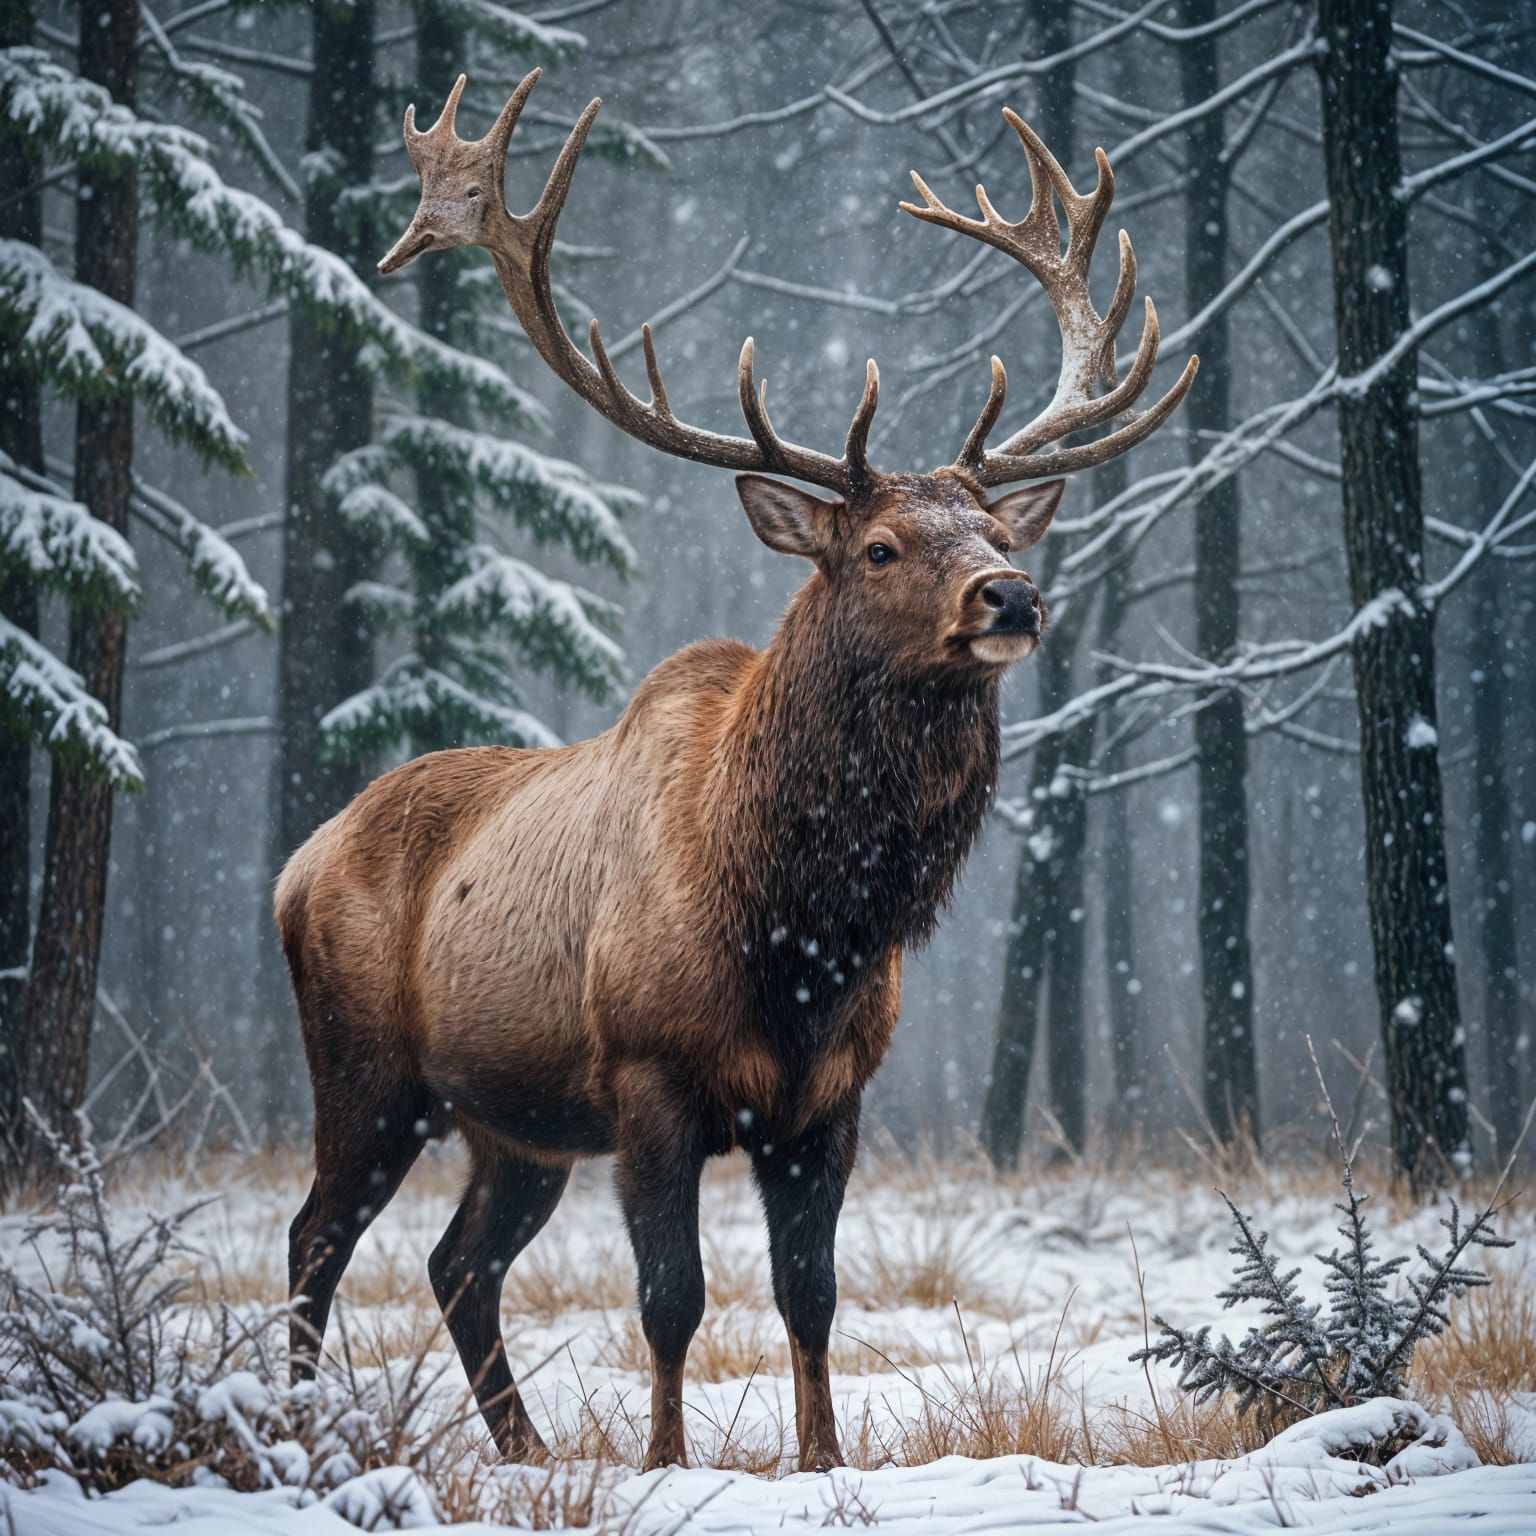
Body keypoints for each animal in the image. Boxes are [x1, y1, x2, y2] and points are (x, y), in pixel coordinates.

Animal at [277, 67, 1196, 1475]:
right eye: (879, 546)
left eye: (994, 524)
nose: (1012, 593)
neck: (800, 928)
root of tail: (296, 864)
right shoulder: (649, 1077)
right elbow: (673, 1295)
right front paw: (665, 1463)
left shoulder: (829, 1103)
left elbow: (809, 1294)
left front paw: (821, 1461)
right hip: (369, 1071)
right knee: (316, 1238)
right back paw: (293, 1425)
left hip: (513, 1125)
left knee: (455, 1263)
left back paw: (525, 1449)